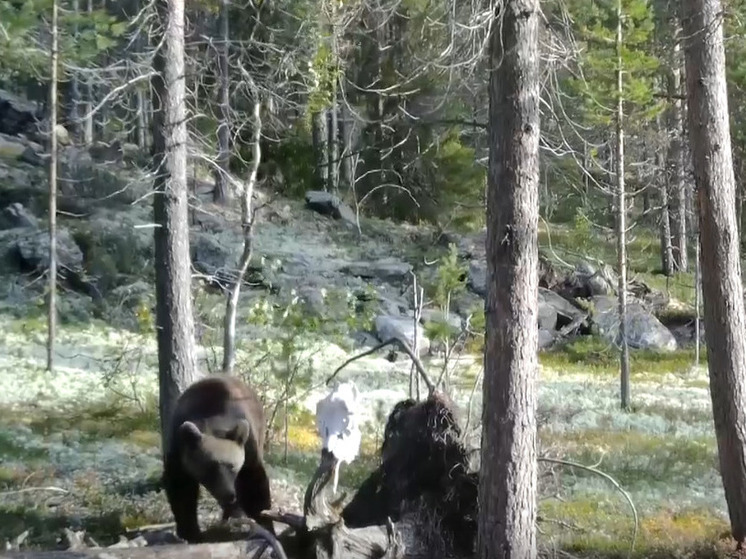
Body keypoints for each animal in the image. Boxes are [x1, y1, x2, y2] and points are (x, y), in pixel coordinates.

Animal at [161, 374, 274, 544]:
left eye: (232, 466)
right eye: (209, 467)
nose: (229, 495)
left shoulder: (248, 446)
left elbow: (254, 482)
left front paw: (266, 524)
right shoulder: (178, 446)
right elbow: (181, 488)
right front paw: (191, 532)